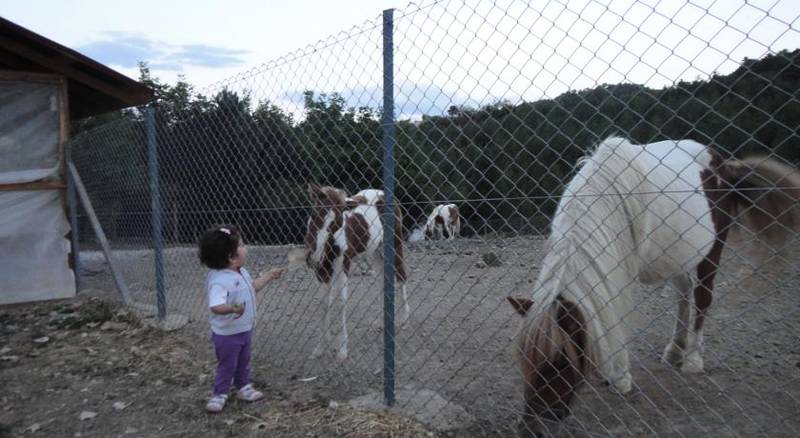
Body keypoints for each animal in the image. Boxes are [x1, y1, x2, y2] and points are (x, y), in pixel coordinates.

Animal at [304, 184, 410, 360]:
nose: (314, 257)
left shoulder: (344, 266)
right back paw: (381, 322)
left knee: (401, 275)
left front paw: (342, 350)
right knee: (383, 281)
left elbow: (341, 302)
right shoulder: (322, 271)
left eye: (337, 221)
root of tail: (385, 194)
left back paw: (404, 319)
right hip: (376, 252)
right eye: (313, 214)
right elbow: (324, 303)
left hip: (395, 244)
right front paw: (320, 347)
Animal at [506, 137, 800, 428]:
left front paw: (620, 377)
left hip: (712, 249)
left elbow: (617, 316)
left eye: (561, 362)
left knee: (703, 297)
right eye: (525, 360)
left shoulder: (623, 271)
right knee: (684, 294)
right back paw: (675, 349)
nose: (534, 423)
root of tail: (723, 164)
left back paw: (692, 358)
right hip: (677, 256)